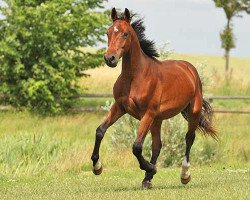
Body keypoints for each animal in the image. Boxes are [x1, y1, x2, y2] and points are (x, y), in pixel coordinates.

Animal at [90, 7, 217, 189]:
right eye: (108, 32)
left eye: (125, 33)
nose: (110, 58)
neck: (135, 77)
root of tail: (189, 68)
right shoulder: (119, 107)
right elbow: (100, 131)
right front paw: (97, 167)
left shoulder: (147, 114)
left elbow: (136, 146)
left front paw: (151, 167)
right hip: (158, 119)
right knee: (157, 145)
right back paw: (147, 180)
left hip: (192, 112)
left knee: (189, 138)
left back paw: (184, 175)